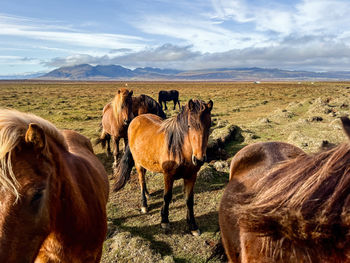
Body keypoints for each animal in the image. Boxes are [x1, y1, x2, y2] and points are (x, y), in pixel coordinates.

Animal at [113, 100, 212, 236]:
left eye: (209, 125)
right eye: (189, 126)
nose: (199, 159)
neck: (180, 149)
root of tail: (136, 119)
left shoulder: (191, 176)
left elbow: (189, 200)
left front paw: (193, 226)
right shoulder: (168, 176)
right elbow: (167, 196)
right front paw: (164, 220)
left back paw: (148, 194)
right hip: (138, 164)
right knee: (141, 180)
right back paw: (144, 204)